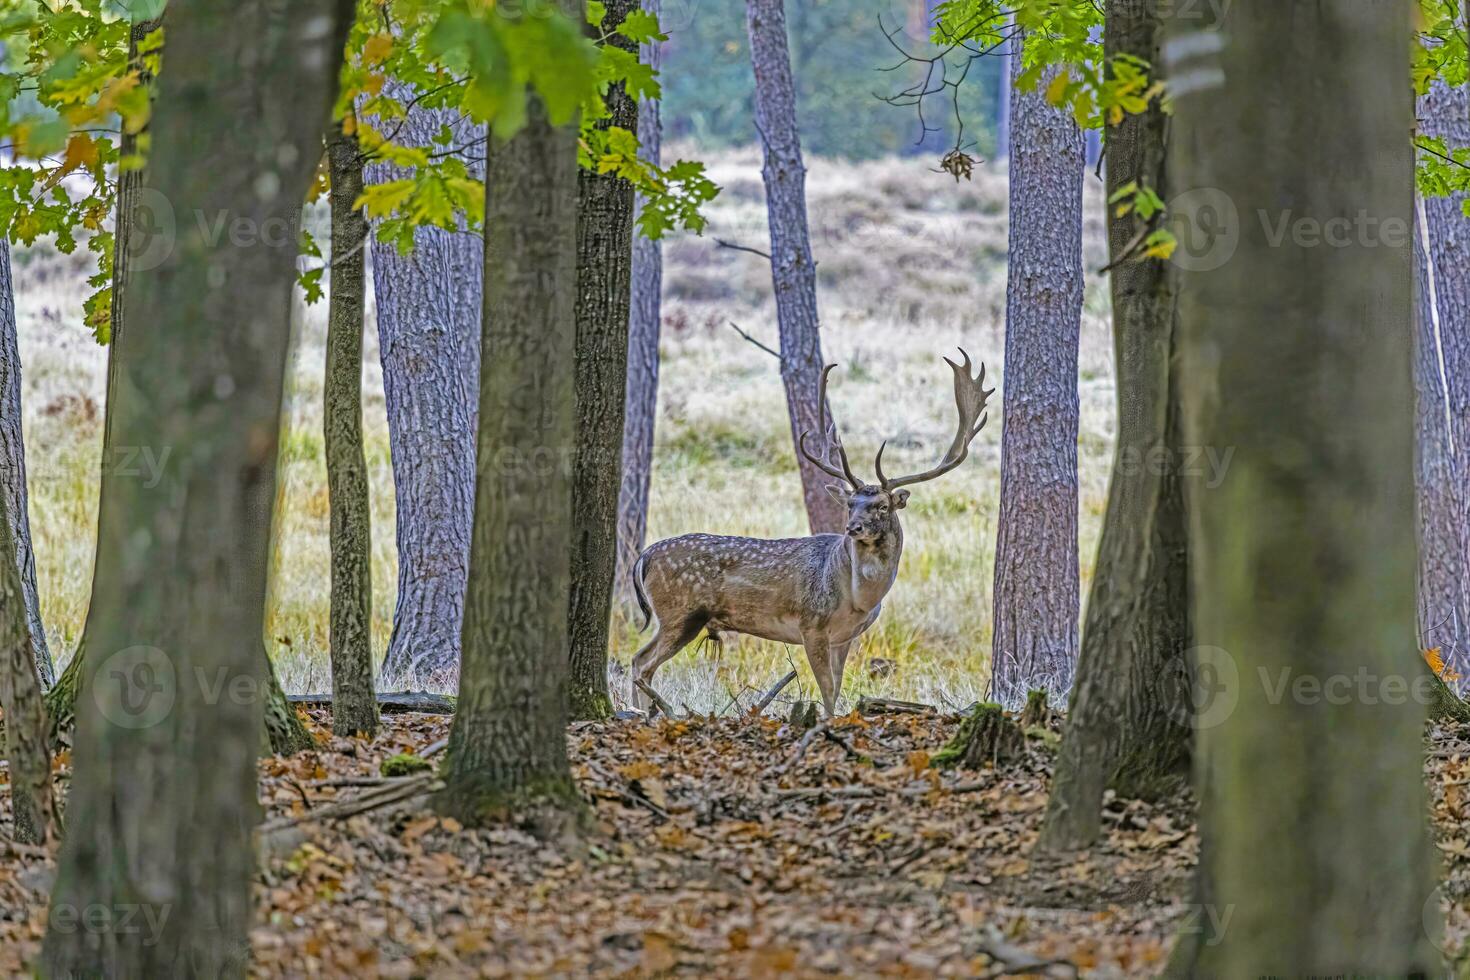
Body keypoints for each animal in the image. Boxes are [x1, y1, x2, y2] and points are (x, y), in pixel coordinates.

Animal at [626, 348, 993, 717]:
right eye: (851, 503)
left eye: (881, 506)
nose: (852, 527)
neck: (858, 598)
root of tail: (644, 556)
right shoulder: (811, 624)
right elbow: (827, 691)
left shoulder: (846, 637)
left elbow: (837, 687)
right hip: (681, 611)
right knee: (641, 662)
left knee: (640, 661)